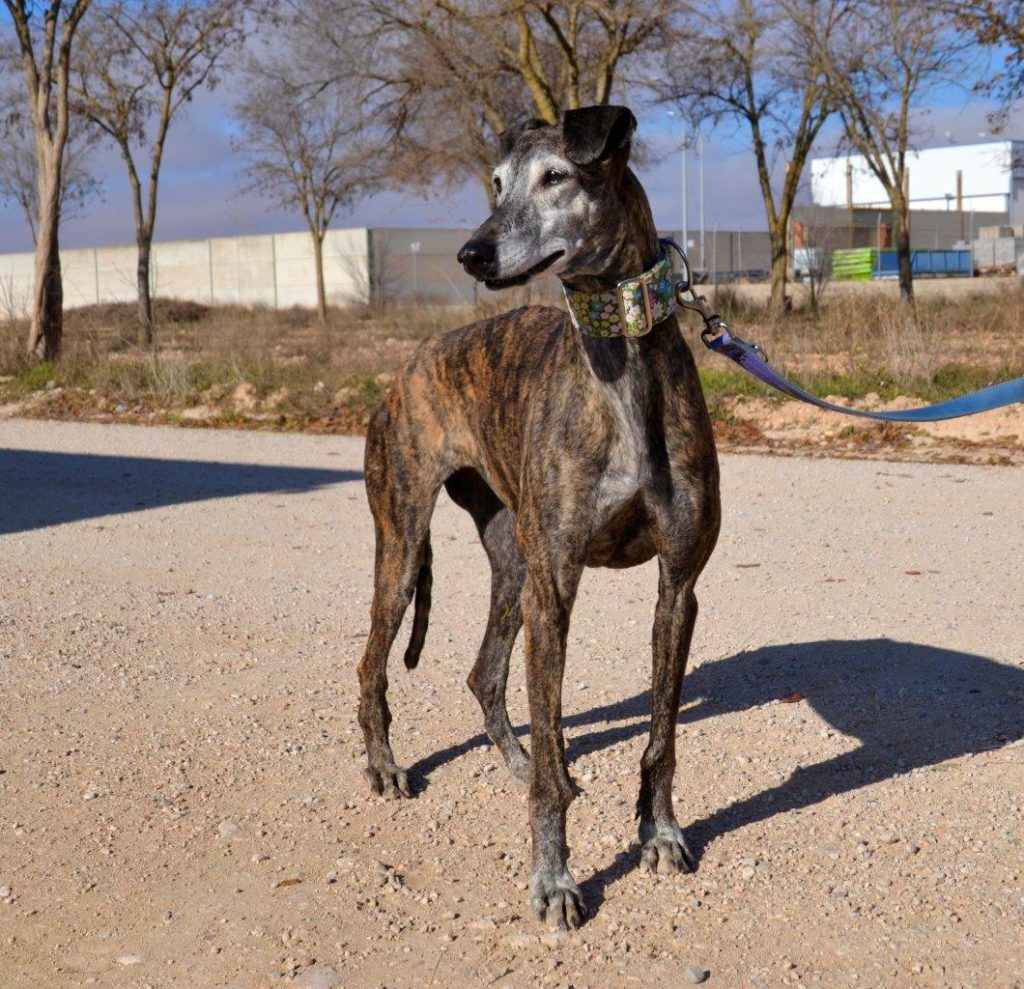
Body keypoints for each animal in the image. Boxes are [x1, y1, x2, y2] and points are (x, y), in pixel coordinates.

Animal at [360, 106, 720, 929]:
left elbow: (660, 737)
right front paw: (554, 878)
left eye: (556, 176)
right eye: (495, 183)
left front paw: (660, 832)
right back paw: (387, 767)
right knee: (371, 666)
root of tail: (404, 371)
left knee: (484, 675)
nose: (472, 253)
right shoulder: (557, 591)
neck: (619, 365)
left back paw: (518, 760)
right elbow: (557, 756)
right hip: (407, 548)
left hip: (513, 562)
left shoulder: (677, 587)